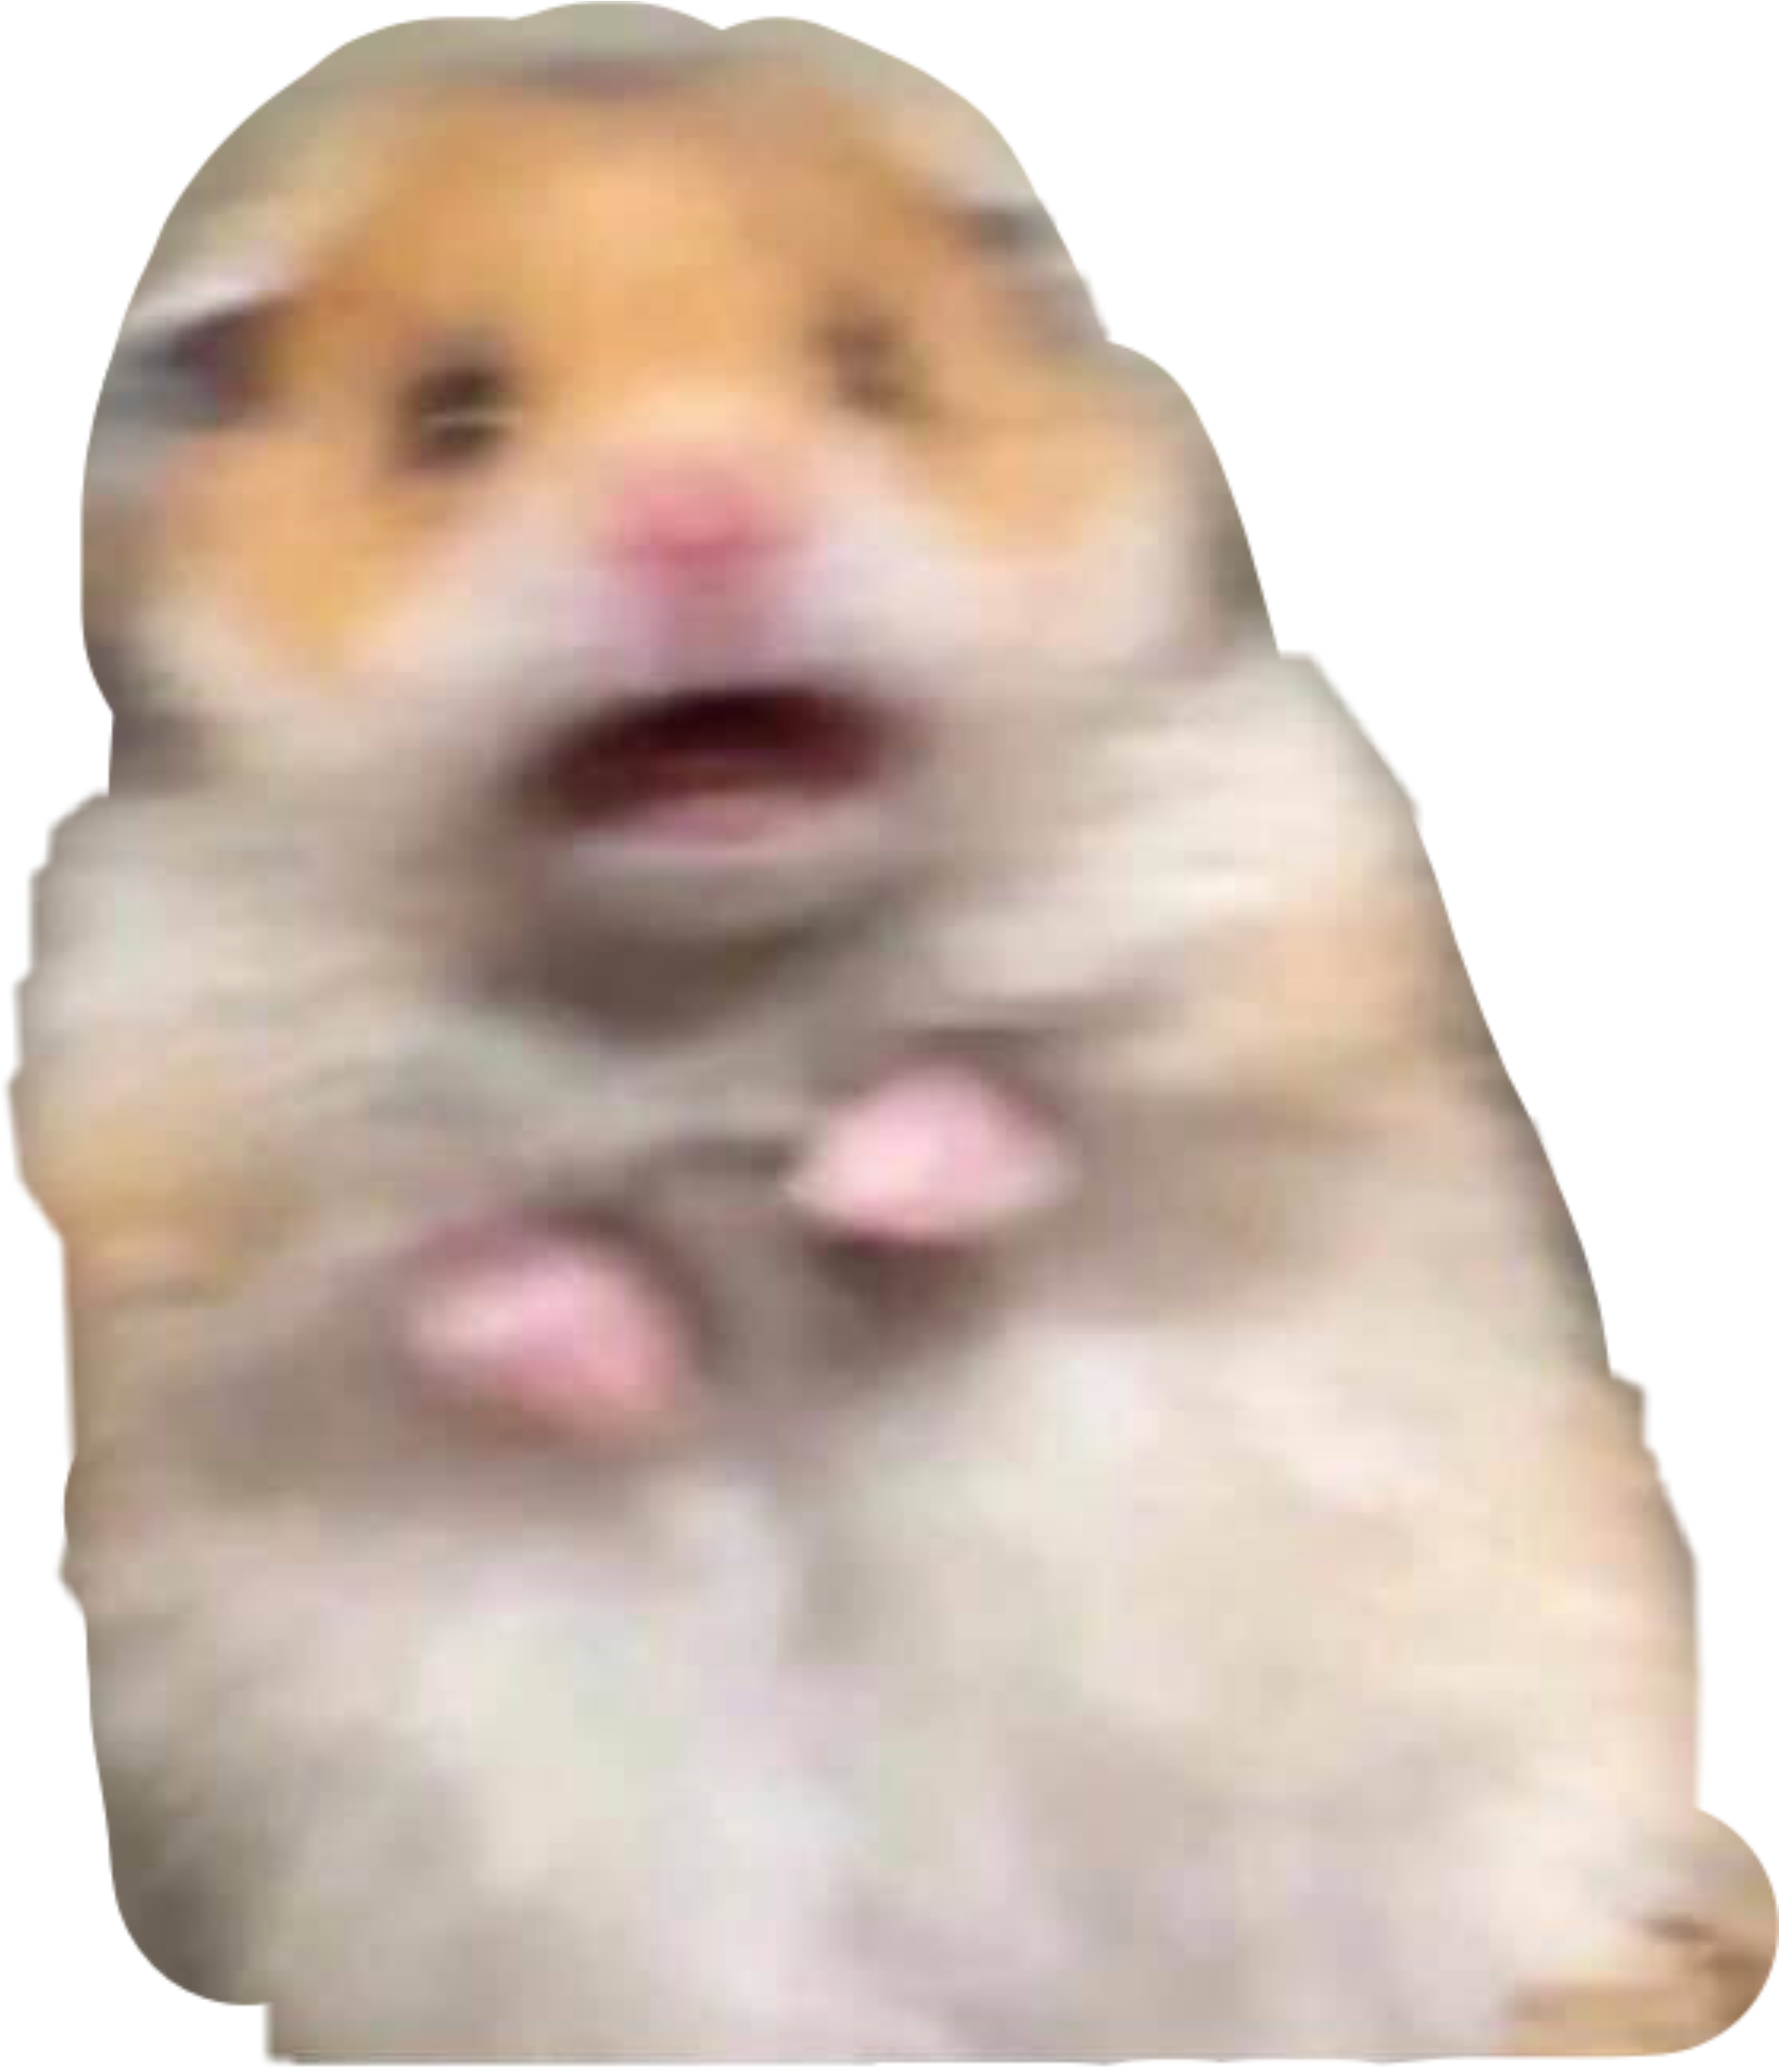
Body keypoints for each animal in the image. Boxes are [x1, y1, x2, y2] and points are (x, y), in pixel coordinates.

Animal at [22, 49, 1773, 2062]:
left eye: (872, 367)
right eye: (447, 417)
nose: (705, 520)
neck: (707, 976)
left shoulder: (1270, 949)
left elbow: (1023, 1096)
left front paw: (847, 1197)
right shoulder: (175, 1160)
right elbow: (457, 1272)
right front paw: (646, 1366)